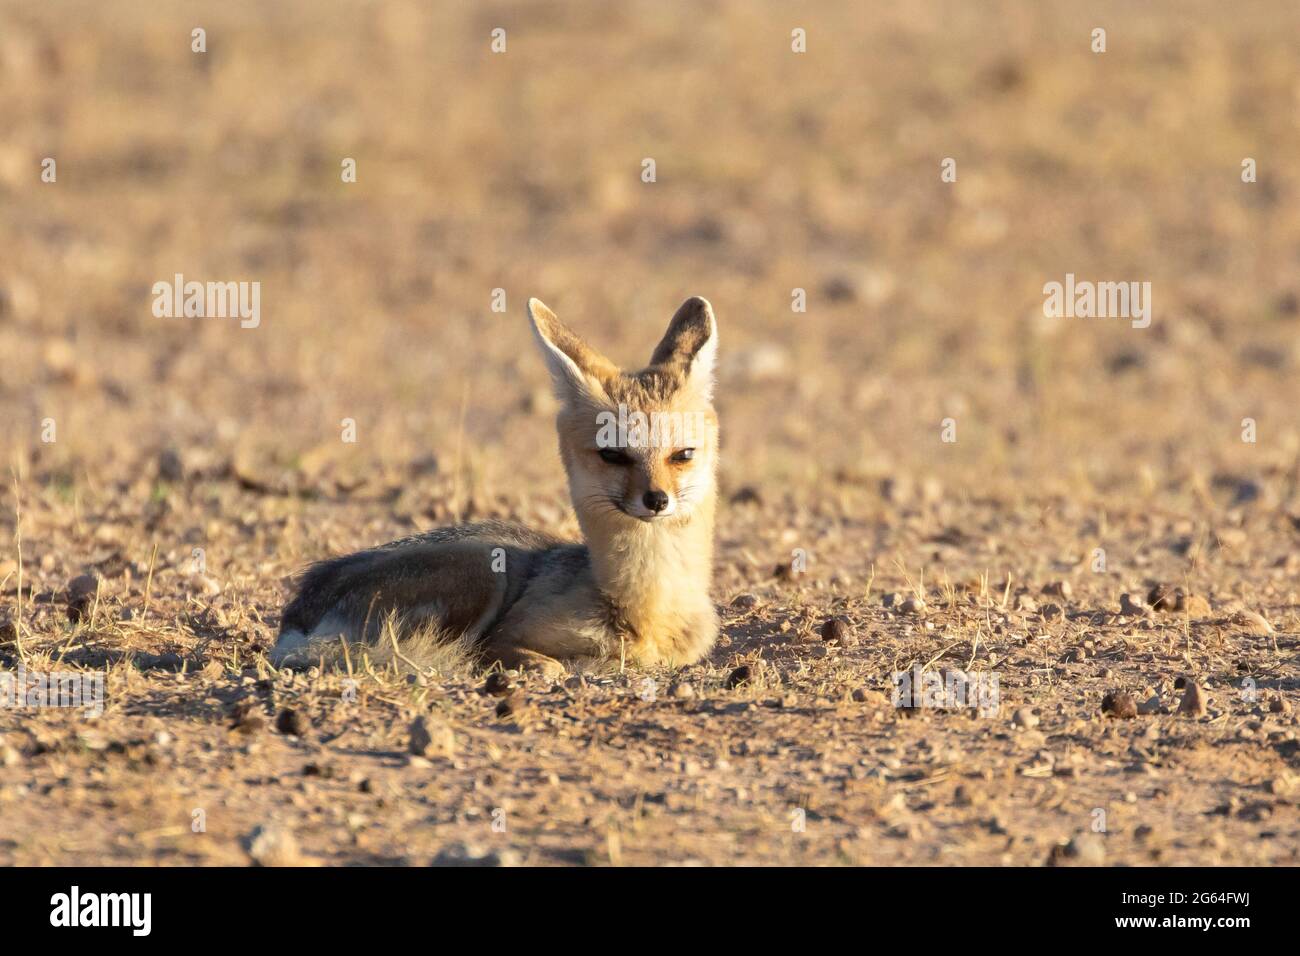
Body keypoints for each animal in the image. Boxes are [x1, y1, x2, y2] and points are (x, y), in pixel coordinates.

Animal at [270, 296, 720, 676]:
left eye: (682, 455)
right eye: (612, 455)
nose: (656, 500)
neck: (647, 608)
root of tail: (298, 612)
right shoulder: (504, 637)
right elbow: (535, 660)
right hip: (485, 569)